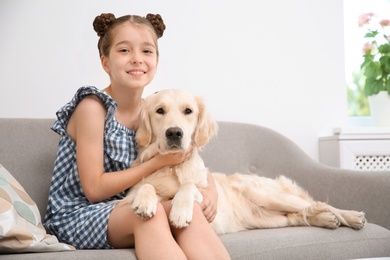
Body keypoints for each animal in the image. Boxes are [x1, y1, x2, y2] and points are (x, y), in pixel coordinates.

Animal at [124, 89, 366, 234]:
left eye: (188, 111)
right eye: (160, 110)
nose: (174, 133)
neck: (173, 166)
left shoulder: (205, 195)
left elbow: (188, 185)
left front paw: (180, 211)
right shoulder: (126, 198)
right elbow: (145, 186)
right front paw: (145, 201)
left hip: (269, 196)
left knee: (319, 204)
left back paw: (352, 216)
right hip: (273, 217)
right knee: (301, 214)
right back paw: (326, 219)